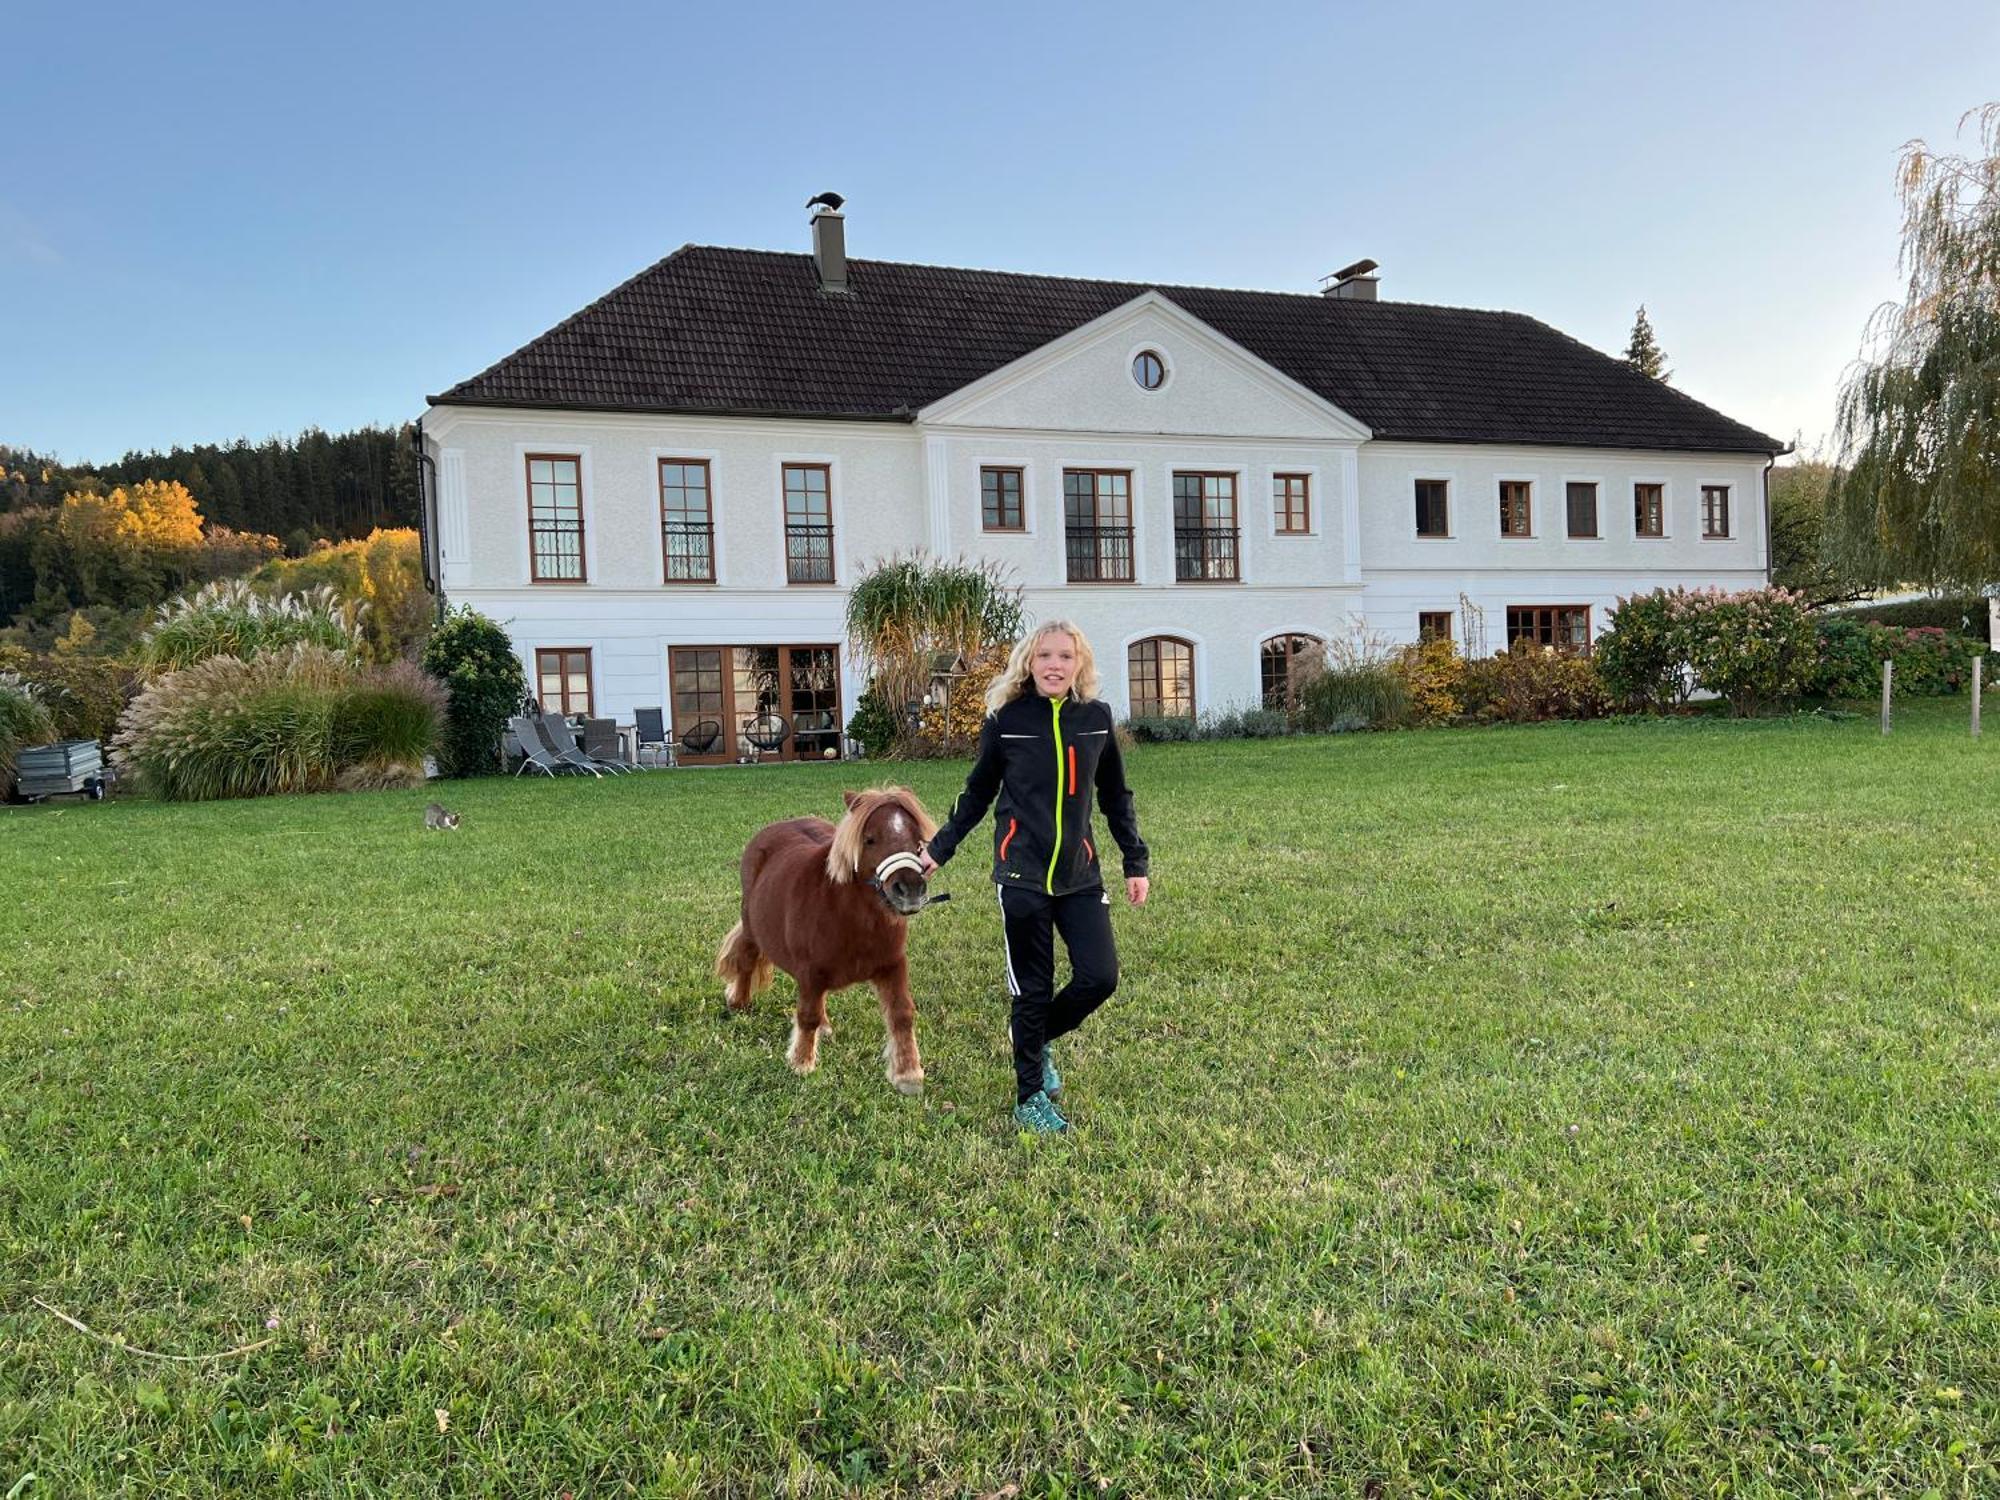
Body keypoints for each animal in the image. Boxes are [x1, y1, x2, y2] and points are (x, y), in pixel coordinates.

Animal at [720, 788, 936, 1096]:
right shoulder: (810, 971)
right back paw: (739, 1001)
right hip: (751, 924)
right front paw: (802, 1063)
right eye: (869, 839)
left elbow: (901, 1014)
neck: (851, 917)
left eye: (918, 841)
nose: (910, 890)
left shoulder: (893, 965)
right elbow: (807, 1014)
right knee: (746, 958)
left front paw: (908, 1074)